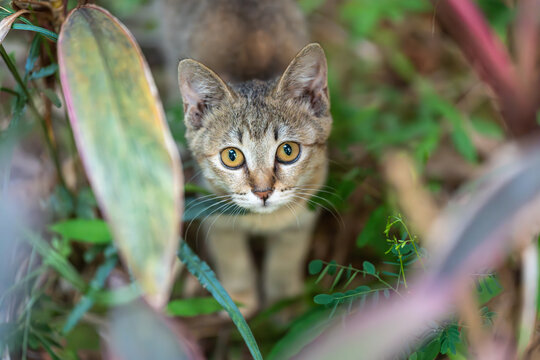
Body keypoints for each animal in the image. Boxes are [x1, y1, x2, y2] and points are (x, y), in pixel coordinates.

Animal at [166, 0, 334, 316]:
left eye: (288, 151)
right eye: (231, 156)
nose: (263, 192)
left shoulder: (307, 207)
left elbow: (287, 256)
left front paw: (284, 302)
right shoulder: (213, 210)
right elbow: (231, 255)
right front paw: (239, 298)